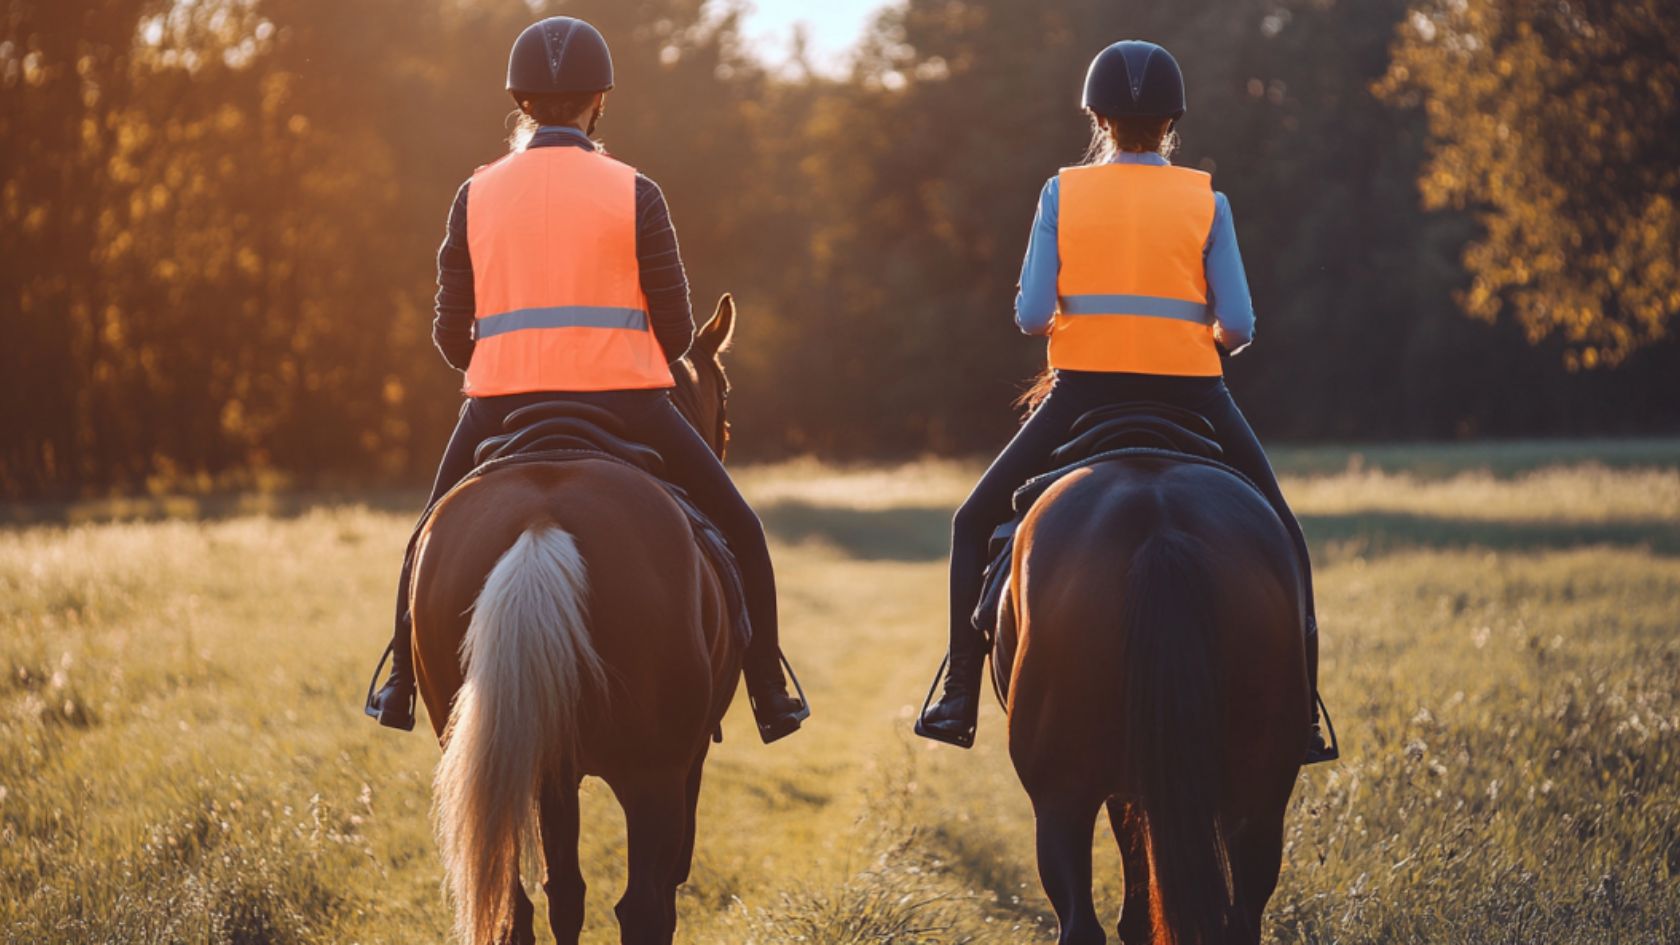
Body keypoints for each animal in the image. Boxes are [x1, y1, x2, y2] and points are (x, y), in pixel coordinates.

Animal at [409, 295, 745, 941]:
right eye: (725, 403)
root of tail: (542, 520)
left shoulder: (550, 772)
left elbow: (563, 893)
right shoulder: (687, 763)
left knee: (519, 905)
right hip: (653, 776)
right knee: (644, 908)